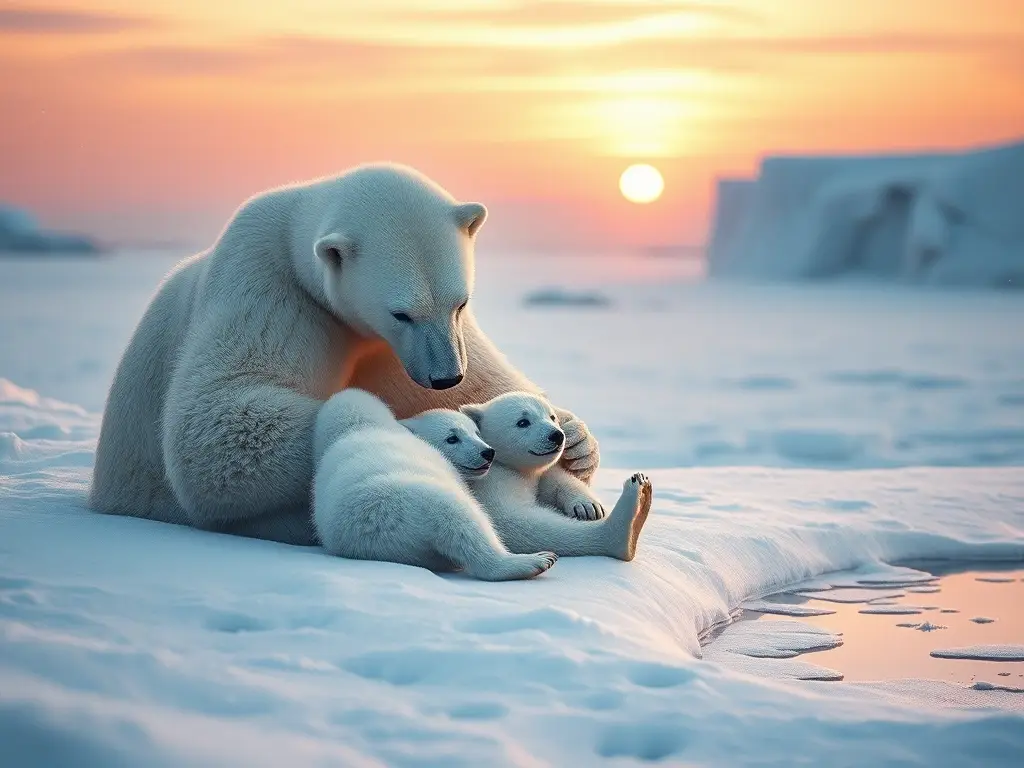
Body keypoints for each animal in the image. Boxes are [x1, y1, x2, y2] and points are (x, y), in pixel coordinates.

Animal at [88, 163, 599, 545]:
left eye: (461, 302)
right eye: (401, 313)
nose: (444, 378)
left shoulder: (389, 345)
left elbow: (485, 379)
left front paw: (577, 442)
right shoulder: (263, 288)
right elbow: (216, 423)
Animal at [312, 388, 557, 581]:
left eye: (476, 432)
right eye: (452, 438)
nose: (487, 452)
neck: (359, 425)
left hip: (391, 547)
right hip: (414, 500)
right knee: (463, 522)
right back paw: (534, 561)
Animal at [460, 392, 654, 561]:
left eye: (552, 417)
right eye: (523, 422)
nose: (557, 435)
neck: (503, 463)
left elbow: (554, 481)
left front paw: (588, 506)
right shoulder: (492, 482)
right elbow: (513, 521)